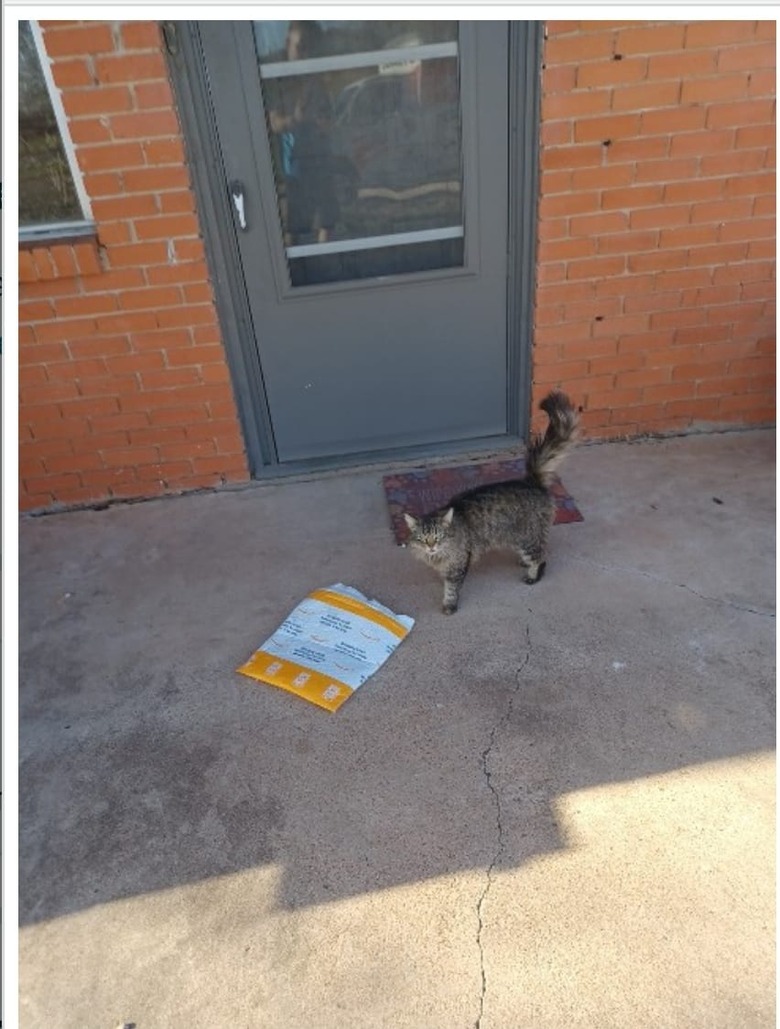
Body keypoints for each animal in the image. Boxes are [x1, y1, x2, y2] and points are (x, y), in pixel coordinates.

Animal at [403, 388, 580, 613]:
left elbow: (451, 588)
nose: (431, 546)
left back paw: (533, 575)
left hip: (528, 538)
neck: (437, 556)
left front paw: (449, 604)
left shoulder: (458, 564)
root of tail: (531, 482)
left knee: (540, 557)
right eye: (423, 538)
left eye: (438, 537)